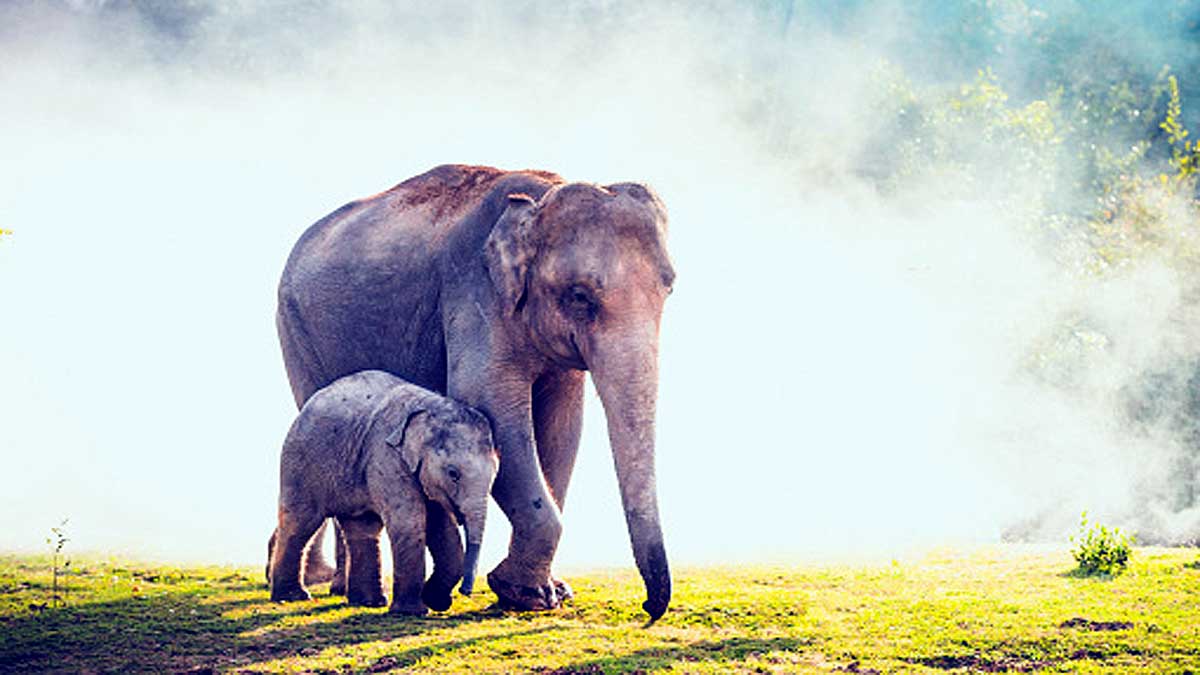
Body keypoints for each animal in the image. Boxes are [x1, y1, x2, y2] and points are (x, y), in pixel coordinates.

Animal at [269, 370, 498, 615]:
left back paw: (369, 602)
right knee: (301, 522)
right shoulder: (385, 456)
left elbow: (442, 525)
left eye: (495, 475)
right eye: (453, 473)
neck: (431, 406)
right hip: (300, 462)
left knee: (362, 527)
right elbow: (410, 520)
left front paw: (435, 601)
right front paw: (412, 611)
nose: (465, 592)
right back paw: (291, 597)